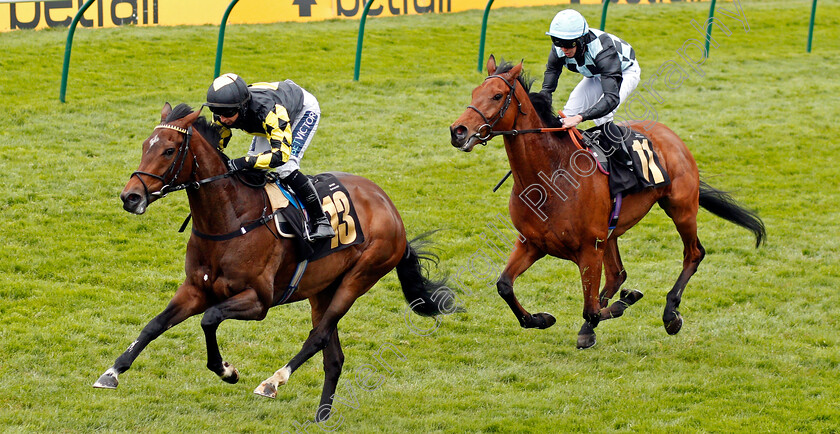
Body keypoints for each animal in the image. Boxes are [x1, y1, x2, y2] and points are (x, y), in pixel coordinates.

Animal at [94, 101, 456, 420]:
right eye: (145, 145)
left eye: (169, 151)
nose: (130, 197)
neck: (230, 219)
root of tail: (391, 209)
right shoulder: (196, 290)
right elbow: (154, 325)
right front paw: (112, 372)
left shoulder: (258, 301)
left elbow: (210, 319)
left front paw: (227, 371)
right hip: (322, 290)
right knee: (333, 356)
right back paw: (322, 417)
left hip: (358, 279)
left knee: (318, 337)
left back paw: (273, 382)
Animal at [450, 56, 764, 350]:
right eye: (474, 92)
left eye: (497, 96)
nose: (458, 131)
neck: (550, 176)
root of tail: (671, 136)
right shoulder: (532, 242)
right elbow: (504, 285)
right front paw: (541, 318)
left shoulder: (589, 249)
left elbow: (590, 309)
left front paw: (614, 310)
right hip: (612, 231)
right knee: (617, 275)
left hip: (681, 209)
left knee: (693, 254)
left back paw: (670, 314)